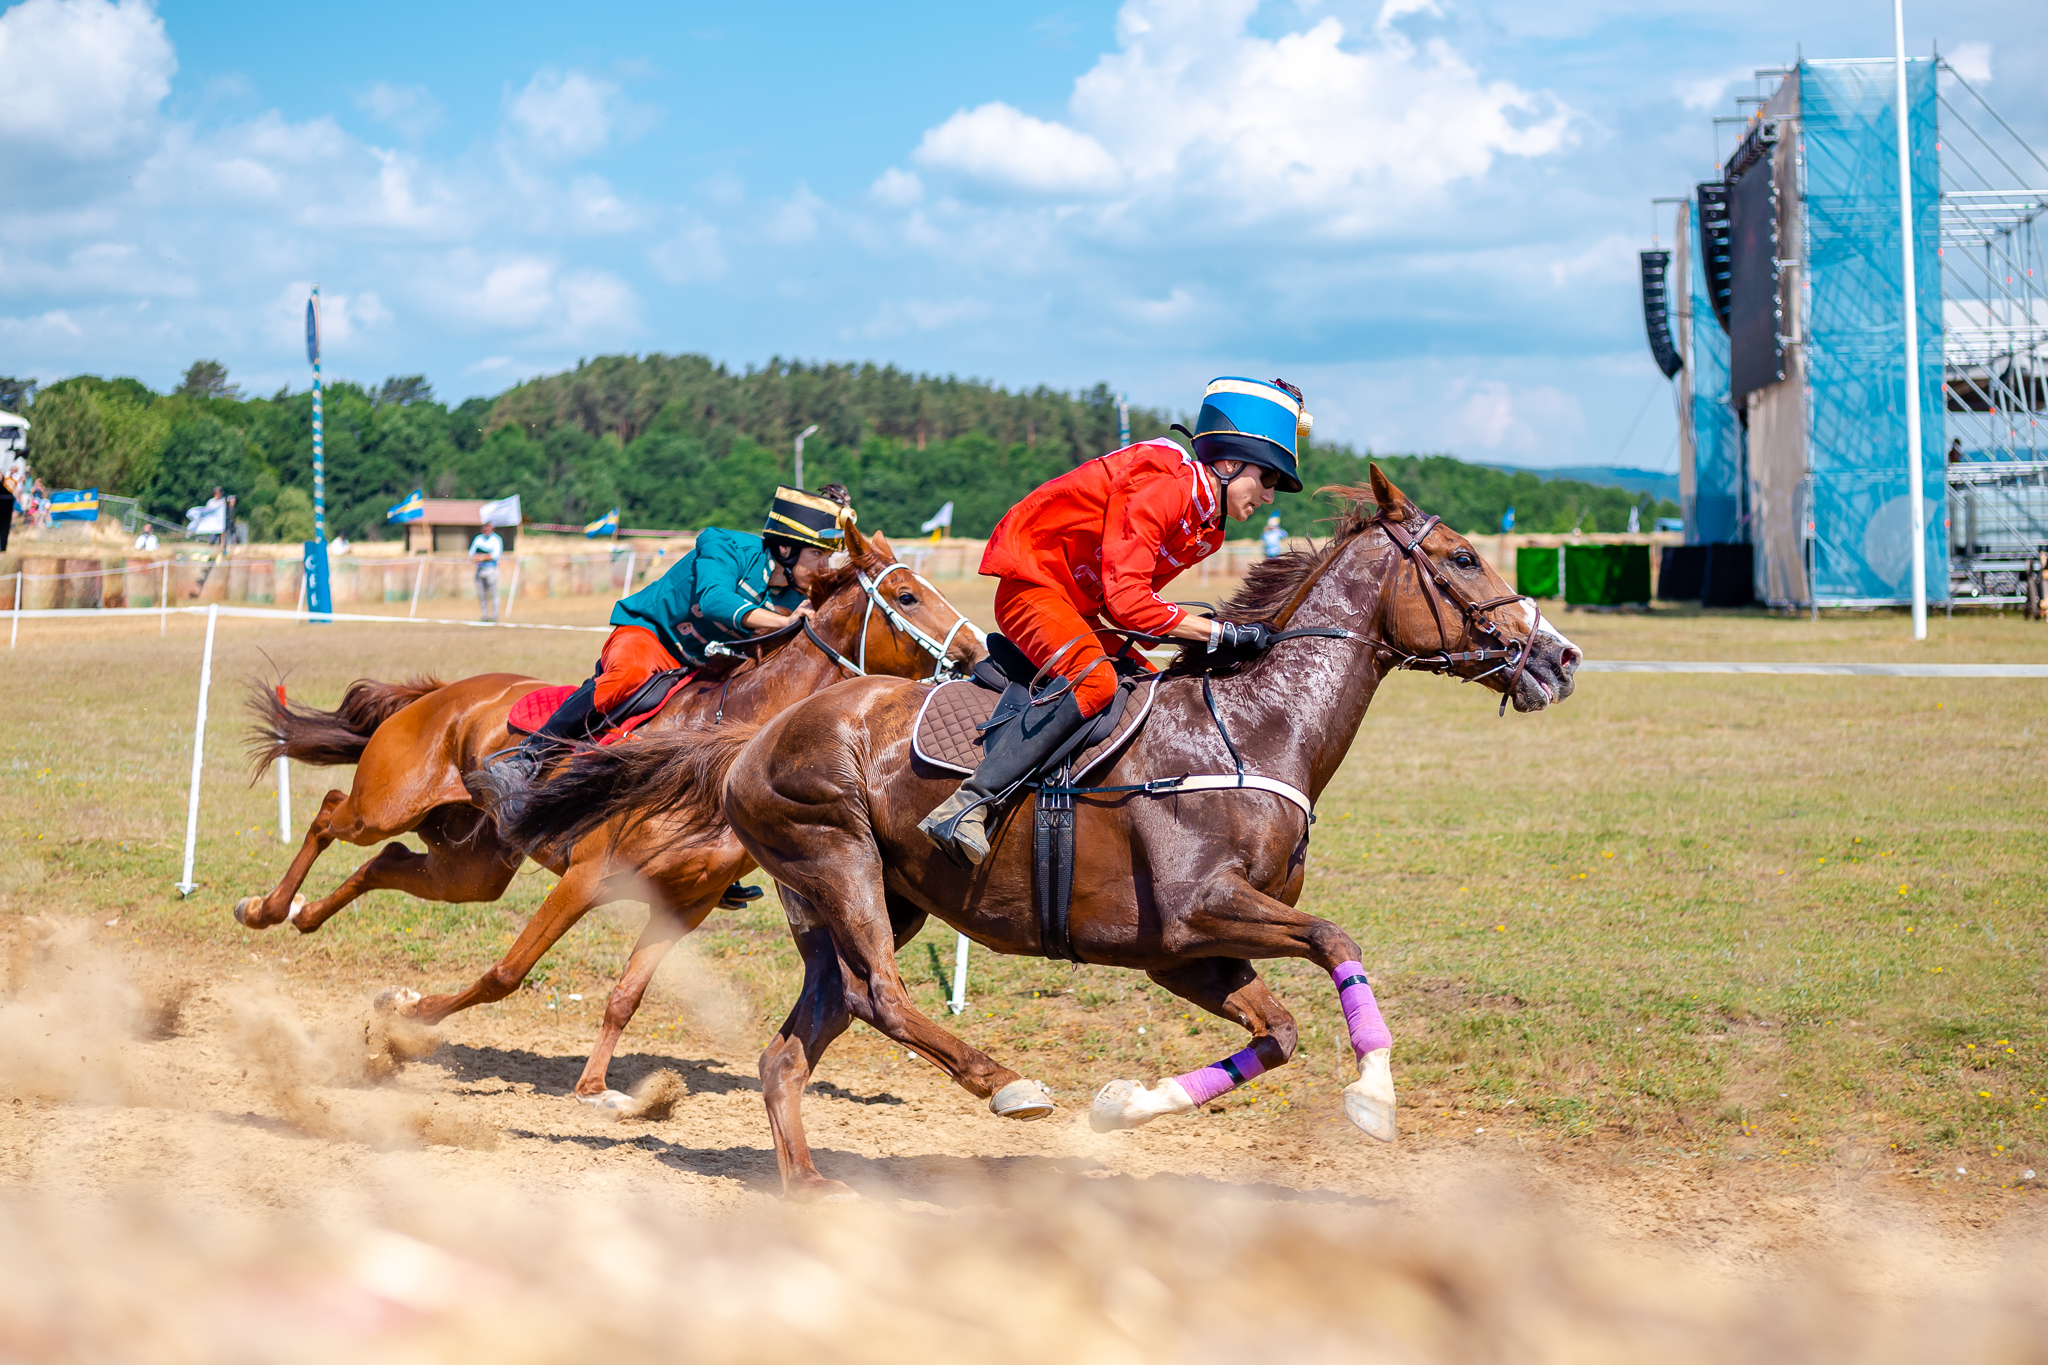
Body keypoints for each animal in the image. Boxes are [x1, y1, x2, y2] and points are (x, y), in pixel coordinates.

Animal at [507, 466, 1581, 1195]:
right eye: (1462, 556)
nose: (1562, 656)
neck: (1254, 723)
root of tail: (754, 730)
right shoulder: (1199, 911)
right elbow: (1336, 938)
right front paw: (1376, 1095)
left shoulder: (1183, 950)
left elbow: (1275, 1033)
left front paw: (1128, 1103)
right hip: (837, 856)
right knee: (884, 995)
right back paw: (1004, 1082)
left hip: (866, 897)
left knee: (805, 1036)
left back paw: (810, 1180)